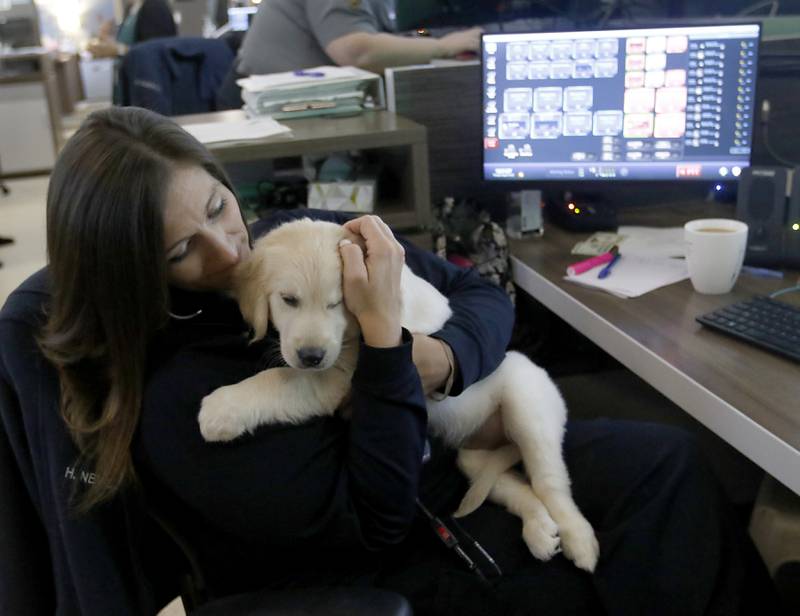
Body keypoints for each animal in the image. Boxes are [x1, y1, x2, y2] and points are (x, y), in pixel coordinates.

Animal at [199, 218, 596, 572]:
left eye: (337, 304)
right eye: (288, 300)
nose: (311, 356)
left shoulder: (338, 372)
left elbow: (278, 379)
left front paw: (221, 408)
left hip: (527, 407)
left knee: (550, 483)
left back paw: (578, 540)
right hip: (473, 457)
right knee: (513, 485)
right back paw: (540, 530)